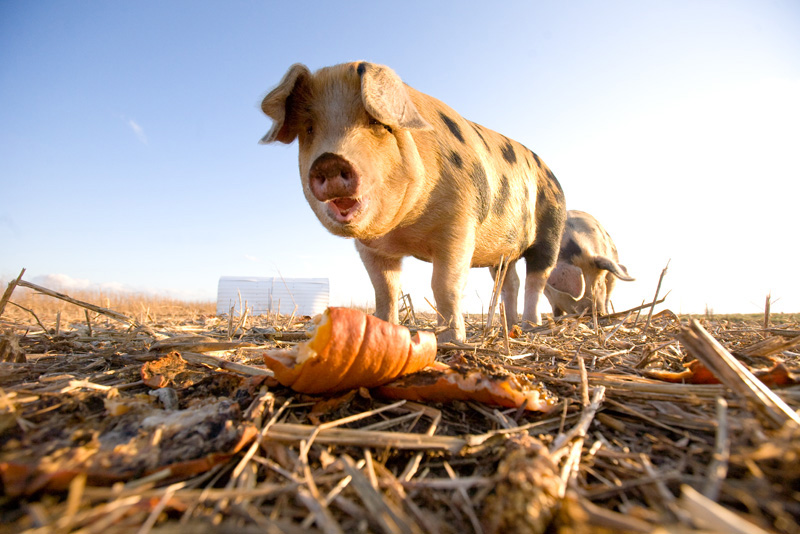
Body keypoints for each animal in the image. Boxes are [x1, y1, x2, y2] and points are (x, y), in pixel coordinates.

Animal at [260, 61, 566, 342]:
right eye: (310, 128)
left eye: (377, 123)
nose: (329, 160)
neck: (403, 231)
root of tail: (551, 173)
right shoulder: (370, 248)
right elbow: (385, 289)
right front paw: (384, 330)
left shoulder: (459, 223)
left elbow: (445, 285)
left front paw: (451, 341)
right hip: (503, 252)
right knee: (509, 282)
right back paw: (510, 326)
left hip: (551, 230)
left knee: (537, 280)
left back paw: (530, 326)